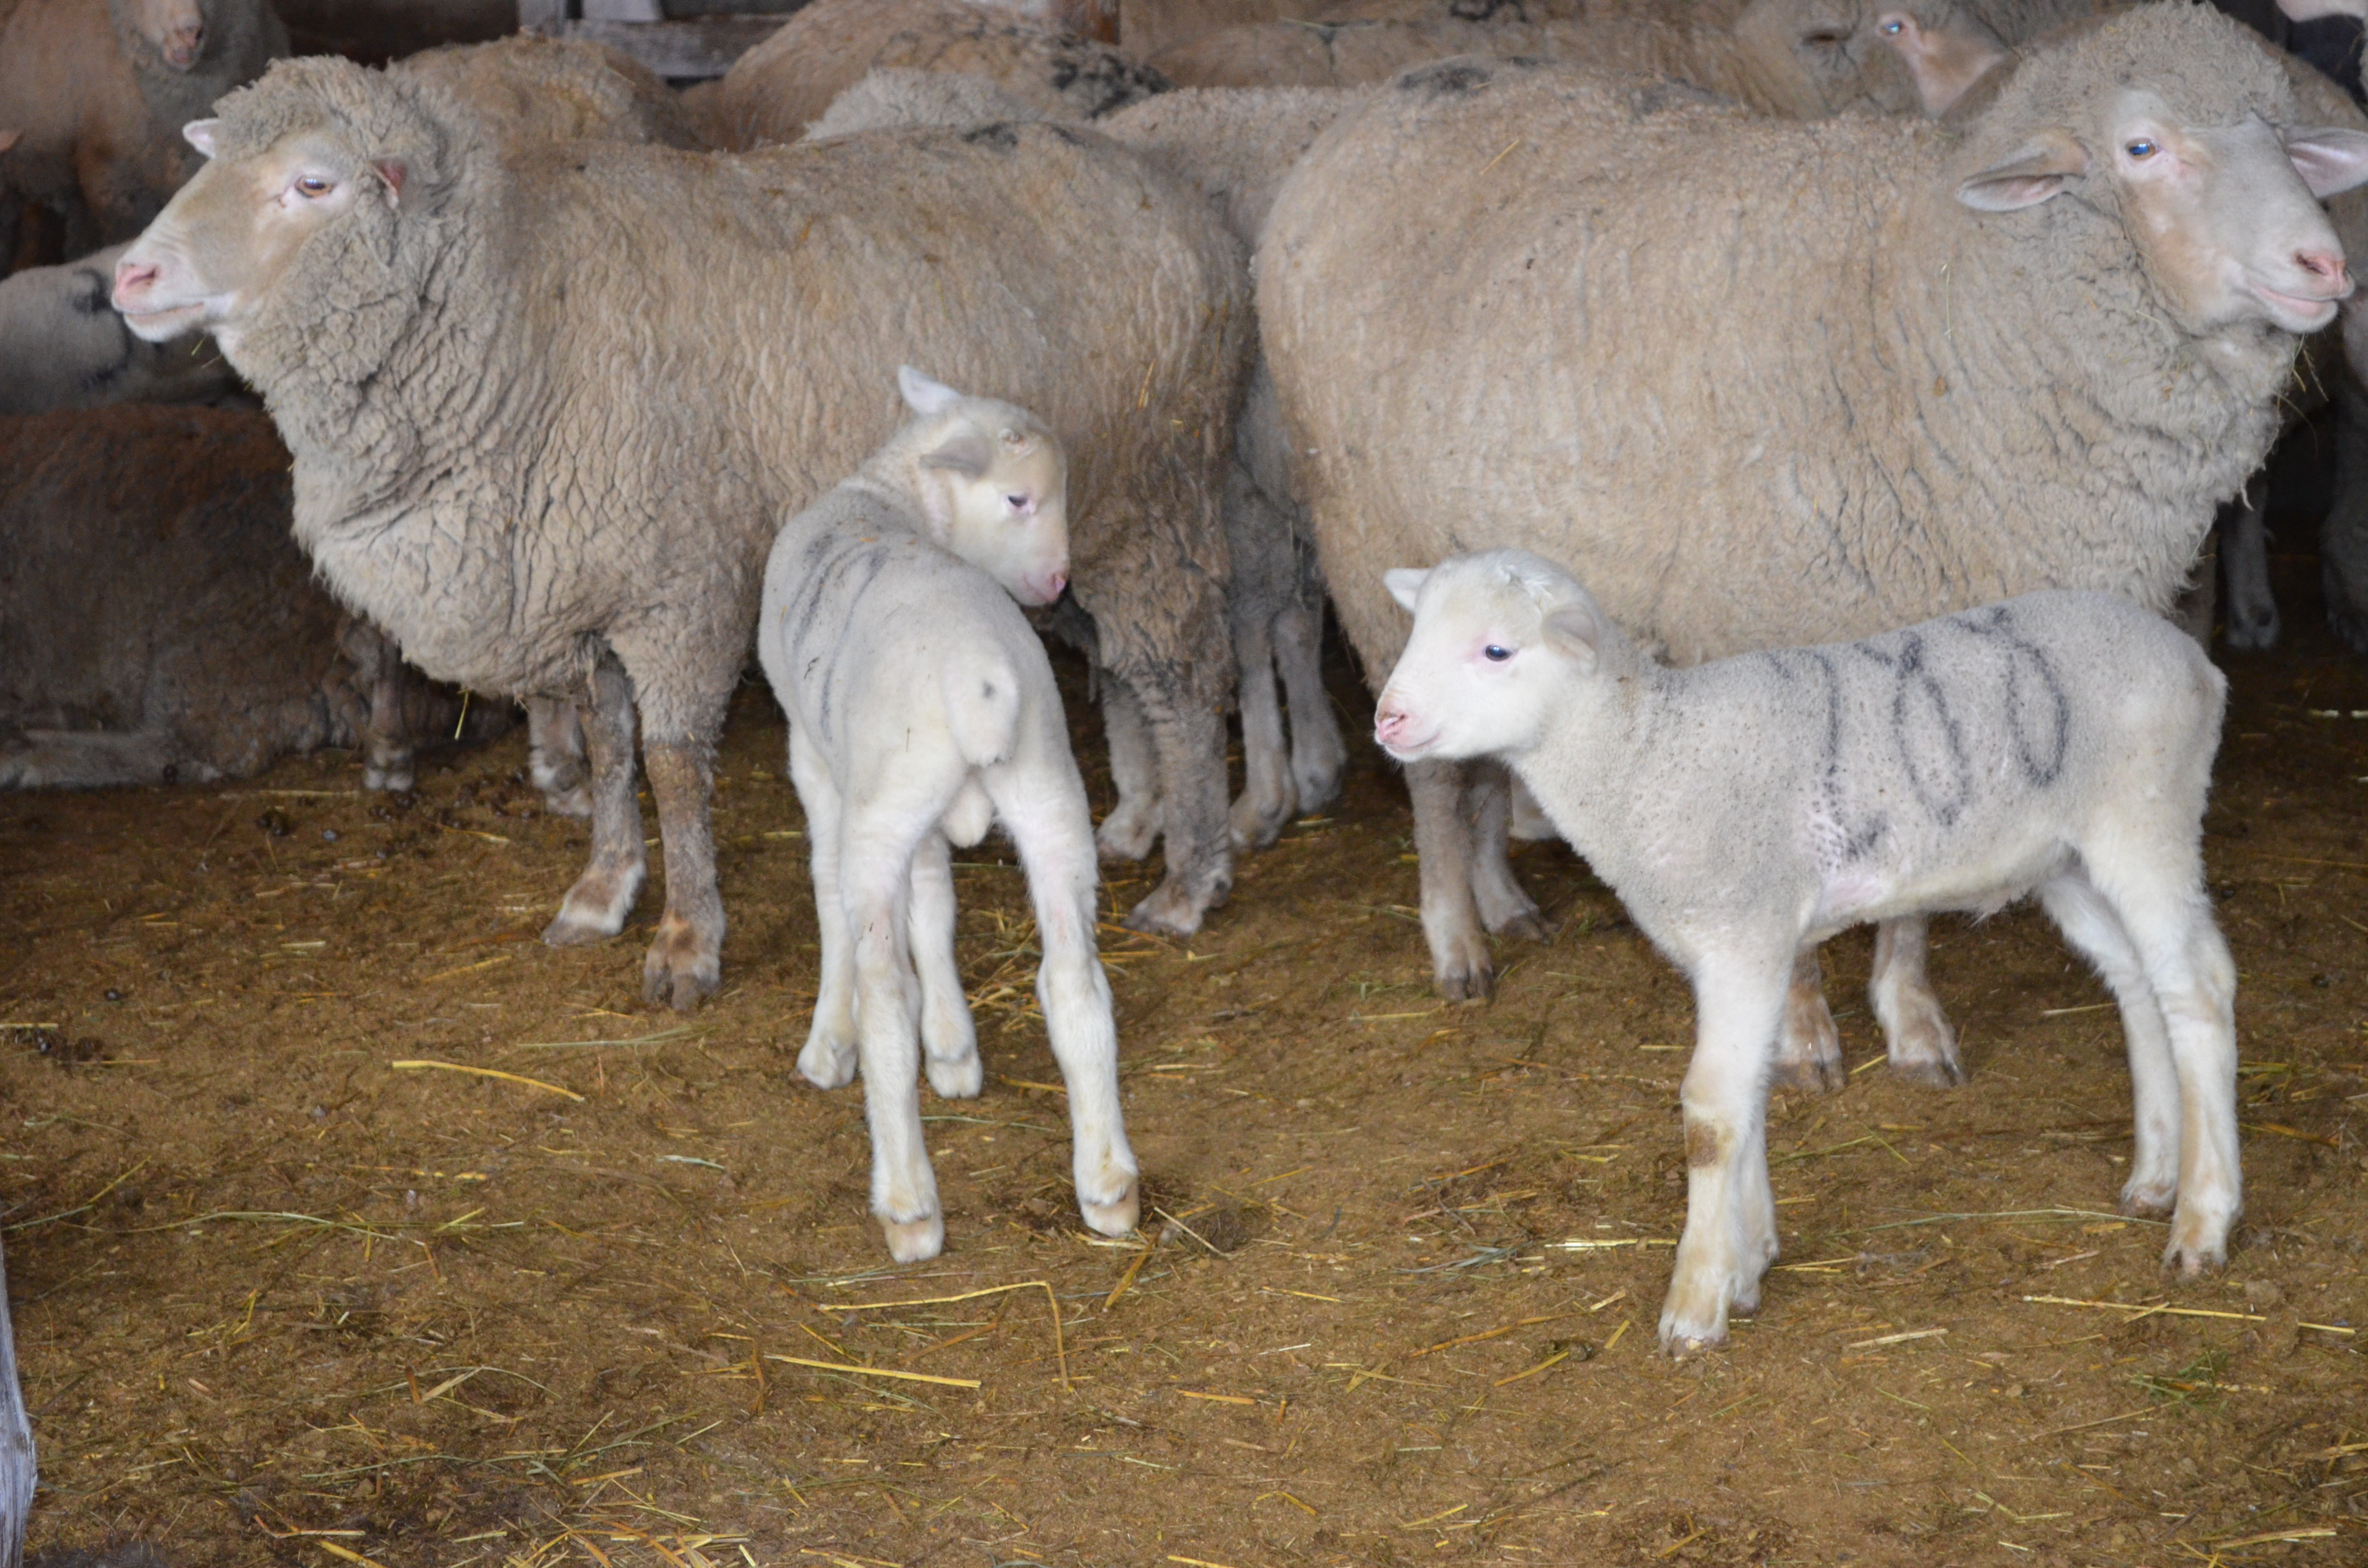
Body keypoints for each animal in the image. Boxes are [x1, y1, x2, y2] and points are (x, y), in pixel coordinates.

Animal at [748, 369, 1136, 1269]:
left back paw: (907, 1203)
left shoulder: (817, 764)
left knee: (883, 993)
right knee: (1074, 984)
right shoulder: (920, 815)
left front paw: (831, 1042)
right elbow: (936, 904)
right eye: (1020, 498)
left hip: (883, 808)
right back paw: (1108, 1186)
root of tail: (973, 673)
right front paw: (955, 1044)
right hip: (1049, 792)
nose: (1059, 584)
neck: (885, 496)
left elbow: (831, 894)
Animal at [1373, 551, 2235, 1355]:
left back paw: (2202, 1220)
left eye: (1496, 649)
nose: (1387, 719)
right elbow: (1748, 1094)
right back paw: (2155, 1177)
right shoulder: (1725, 950)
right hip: (2065, 860)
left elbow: (1709, 1113)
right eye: (1415, 631)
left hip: (2144, 816)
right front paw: (1750, 1261)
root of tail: (2194, 661)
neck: (1646, 751)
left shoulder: (1742, 935)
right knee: (2138, 983)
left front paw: (1695, 1301)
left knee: (2197, 986)